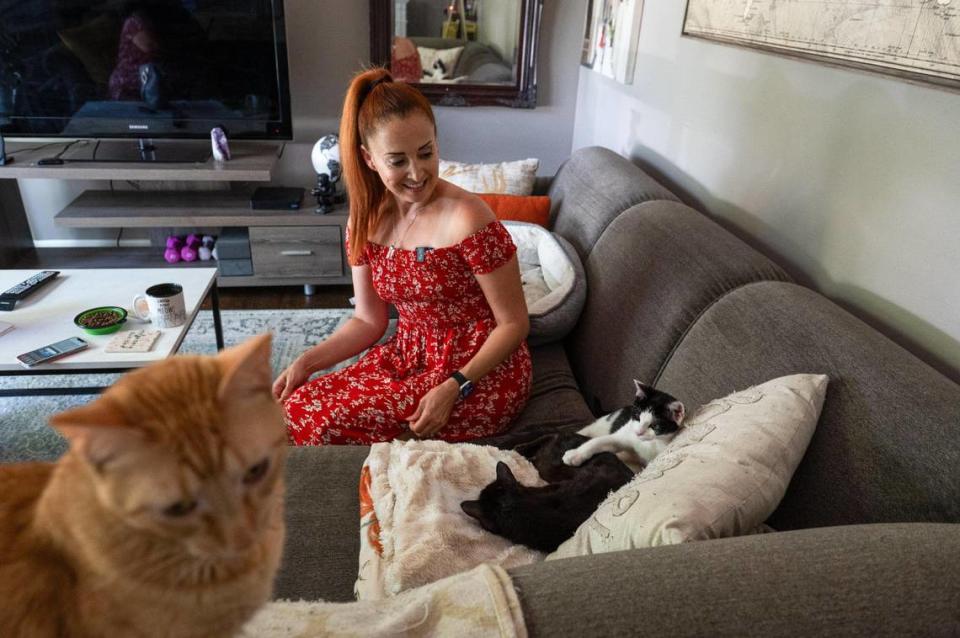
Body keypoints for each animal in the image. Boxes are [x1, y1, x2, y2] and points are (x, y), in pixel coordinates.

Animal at [560, 382, 688, 472]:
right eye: (637, 416)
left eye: (654, 426)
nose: (638, 432)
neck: (648, 443)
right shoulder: (625, 434)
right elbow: (599, 441)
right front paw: (575, 454)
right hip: (600, 424)